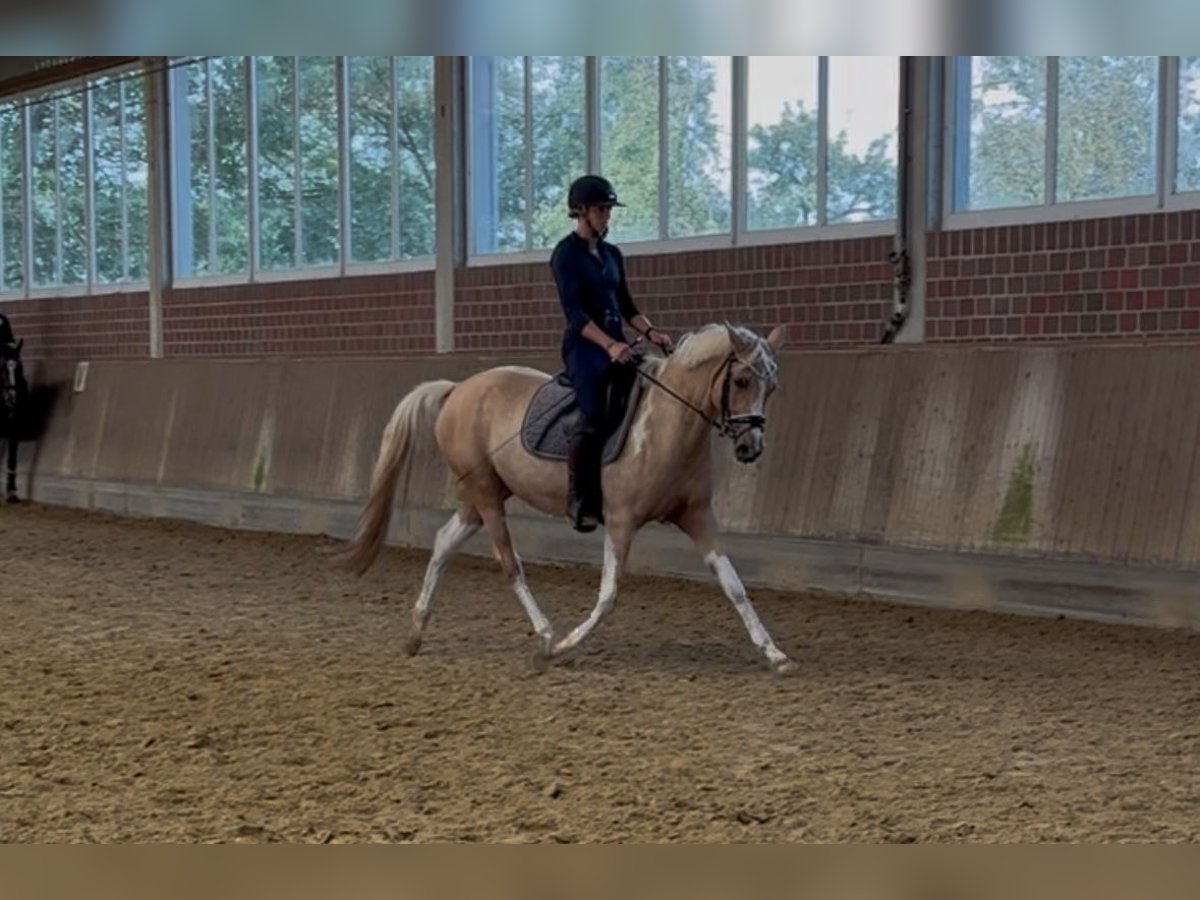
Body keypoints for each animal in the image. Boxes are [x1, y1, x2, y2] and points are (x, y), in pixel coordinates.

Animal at [336, 324, 796, 676]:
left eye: (772, 387)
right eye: (741, 381)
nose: (750, 448)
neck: (668, 425)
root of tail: (458, 389)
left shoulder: (697, 517)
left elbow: (734, 585)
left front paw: (775, 654)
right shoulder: (621, 521)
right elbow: (608, 597)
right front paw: (564, 648)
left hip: (480, 496)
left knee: (444, 542)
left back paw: (416, 632)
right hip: (486, 496)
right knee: (510, 564)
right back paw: (545, 636)